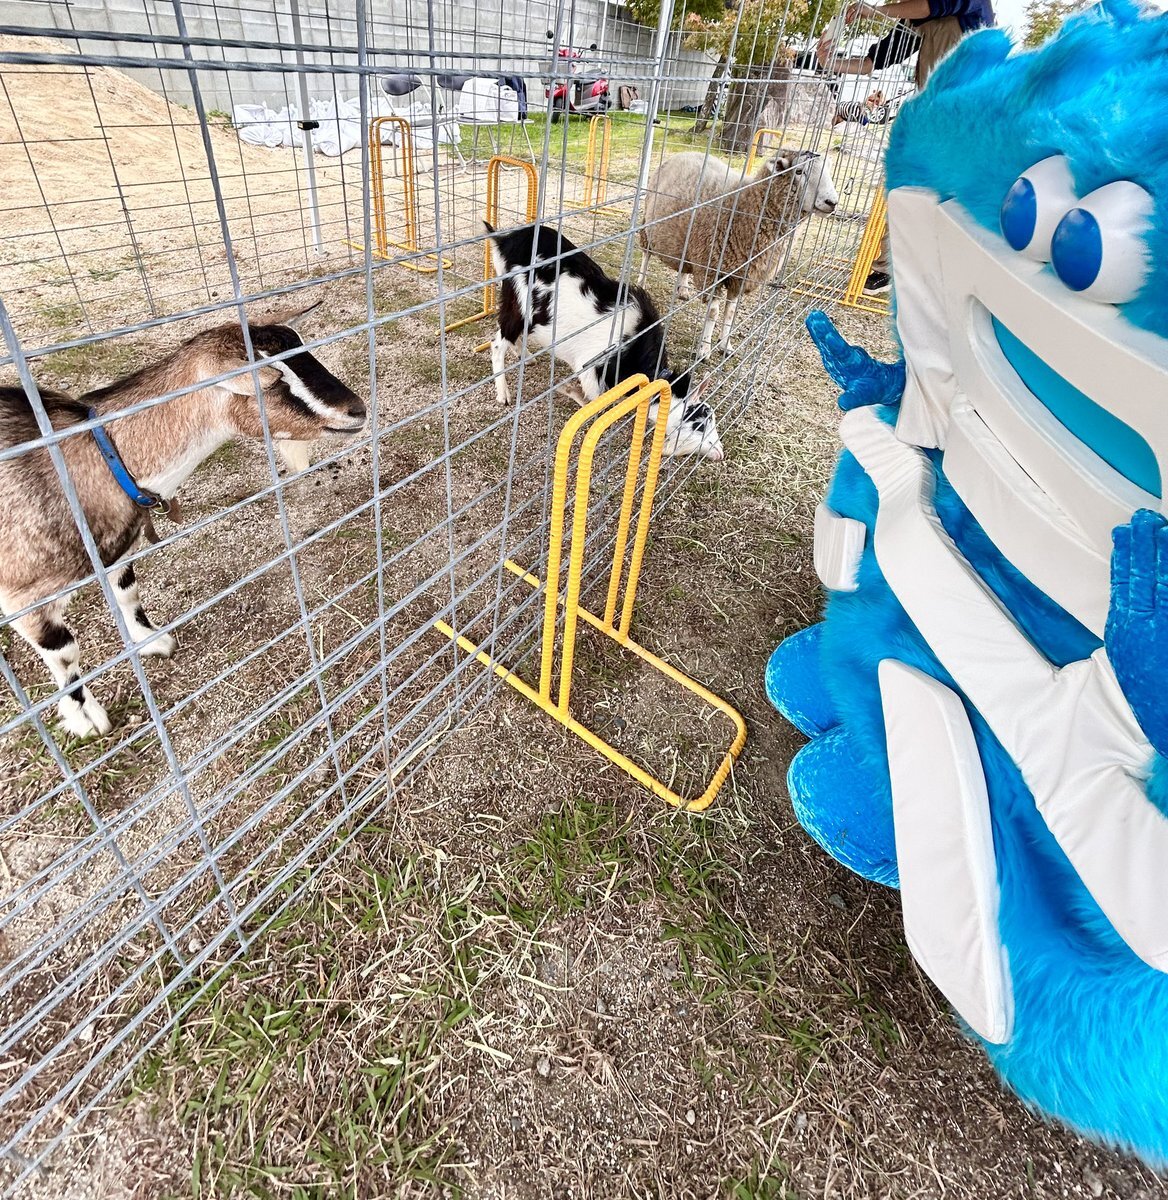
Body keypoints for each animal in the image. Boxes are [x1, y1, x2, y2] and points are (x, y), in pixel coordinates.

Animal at [0, 304, 364, 734]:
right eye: (272, 377)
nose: (357, 410)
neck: (101, 455)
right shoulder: (23, 598)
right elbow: (65, 654)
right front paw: (85, 718)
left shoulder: (118, 553)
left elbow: (128, 593)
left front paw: (152, 641)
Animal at [480, 223, 720, 460]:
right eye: (700, 422)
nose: (720, 453)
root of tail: (504, 240)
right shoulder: (590, 368)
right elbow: (595, 402)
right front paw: (568, 390)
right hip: (518, 305)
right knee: (497, 344)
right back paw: (503, 394)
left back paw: (526, 357)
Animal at [638, 149, 840, 355]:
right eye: (799, 171)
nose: (832, 202)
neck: (746, 206)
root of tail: (685, 152)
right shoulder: (712, 271)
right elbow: (714, 312)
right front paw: (704, 349)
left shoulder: (739, 275)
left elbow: (730, 313)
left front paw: (725, 345)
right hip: (648, 225)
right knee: (646, 256)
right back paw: (641, 282)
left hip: (684, 241)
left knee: (683, 266)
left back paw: (683, 289)